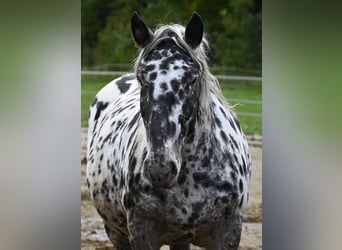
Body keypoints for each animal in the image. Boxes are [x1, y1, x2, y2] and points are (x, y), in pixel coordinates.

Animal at [85, 12, 251, 250]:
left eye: (192, 79)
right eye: (142, 79)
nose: (160, 169)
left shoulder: (228, 233)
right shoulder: (141, 234)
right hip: (116, 232)